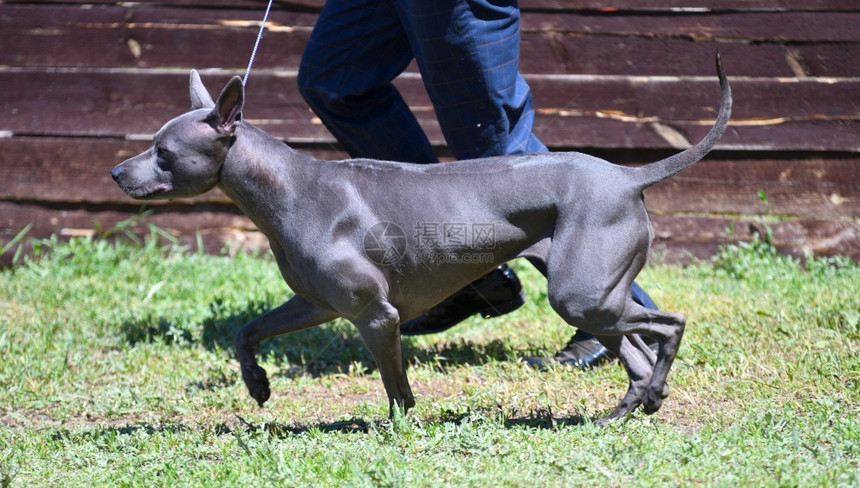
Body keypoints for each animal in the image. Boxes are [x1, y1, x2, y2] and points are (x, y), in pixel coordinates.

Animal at [111, 52, 728, 420]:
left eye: (163, 153)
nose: (116, 172)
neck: (289, 189)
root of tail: (628, 174)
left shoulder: (375, 315)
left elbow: (395, 386)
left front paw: (400, 428)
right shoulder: (315, 304)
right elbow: (246, 332)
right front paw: (258, 386)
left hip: (580, 294)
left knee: (669, 326)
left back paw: (651, 394)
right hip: (593, 299)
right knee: (637, 353)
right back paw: (625, 411)